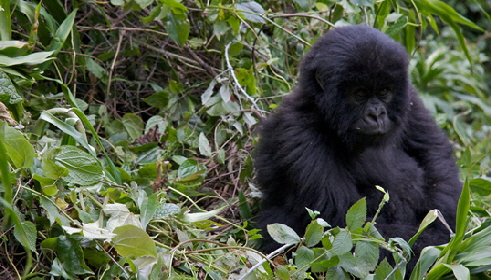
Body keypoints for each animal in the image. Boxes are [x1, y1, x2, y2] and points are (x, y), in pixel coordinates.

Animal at [256, 25, 464, 270]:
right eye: (360, 94)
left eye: (384, 92)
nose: (377, 114)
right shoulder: (298, 133)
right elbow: (346, 227)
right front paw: (440, 244)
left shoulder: (410, 99)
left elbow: (435, 157)